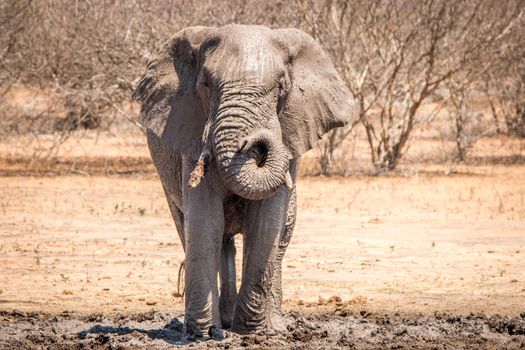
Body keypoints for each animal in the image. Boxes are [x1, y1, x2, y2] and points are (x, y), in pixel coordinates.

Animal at [132, 24, 356, 336]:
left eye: (282, 87)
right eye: (205, 84)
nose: (252, 140)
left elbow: (266, 221)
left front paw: (254, 332)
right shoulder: (191, 131)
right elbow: (205, 220)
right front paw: (203, 334)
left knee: (281, 234)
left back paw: (269, 325)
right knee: (201, 231)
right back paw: (221, 324)